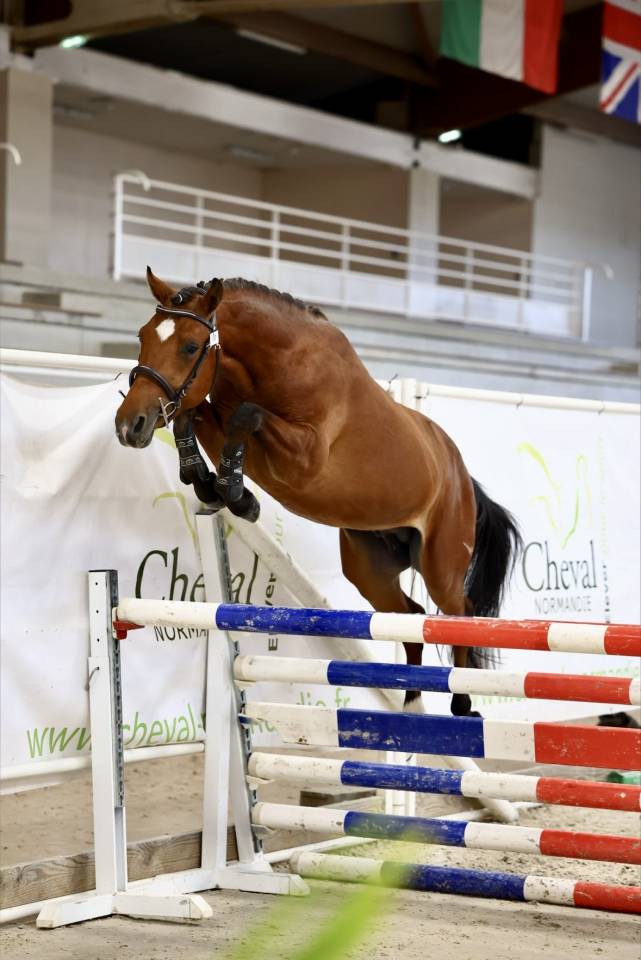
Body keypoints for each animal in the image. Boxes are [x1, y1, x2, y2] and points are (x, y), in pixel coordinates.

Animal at [115, 268, 522, 716]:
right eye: (143, 336)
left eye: (190, 347)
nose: (129, 425)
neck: (279, 363)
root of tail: (461, 476)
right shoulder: (214, 412)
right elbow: (192, 414)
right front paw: (208, 483)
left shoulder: (305, 458)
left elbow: (245, 415)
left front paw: (238, 495)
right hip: (370, 568)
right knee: (410, 615)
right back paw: (412, 700)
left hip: (442, 564)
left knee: (458, 614)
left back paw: (463, 703)